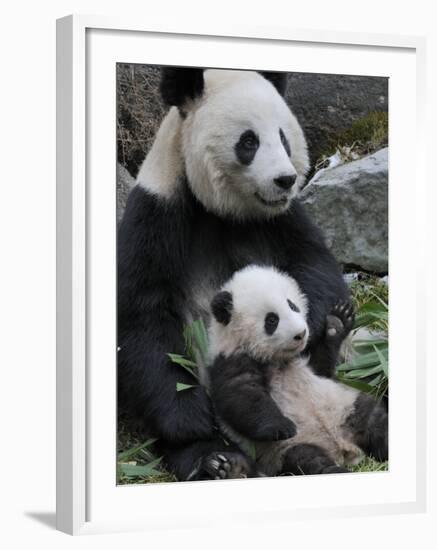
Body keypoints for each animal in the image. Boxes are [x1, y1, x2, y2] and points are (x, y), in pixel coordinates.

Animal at [117, 66, 350, 484]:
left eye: (283, 137)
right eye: (249, 141)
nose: (285, 180)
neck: (223, 209)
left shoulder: (282, 217)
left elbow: (314, 262)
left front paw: (315, 327)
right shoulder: (158, 211)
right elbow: (143, 314)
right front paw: (190, 422)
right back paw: (219, 461)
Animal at [208, 268, 388, 478]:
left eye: (292, 305)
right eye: (272, 320)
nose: (301, 333)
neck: (277, 358)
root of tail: (343, 450)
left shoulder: (308, 362)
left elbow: (323, 368)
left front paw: (337, 323)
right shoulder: (230, 358)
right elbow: (242, 396)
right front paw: (281, 426)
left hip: (346, 406)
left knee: (374, 421)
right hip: (290, 450)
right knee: (311, 462)